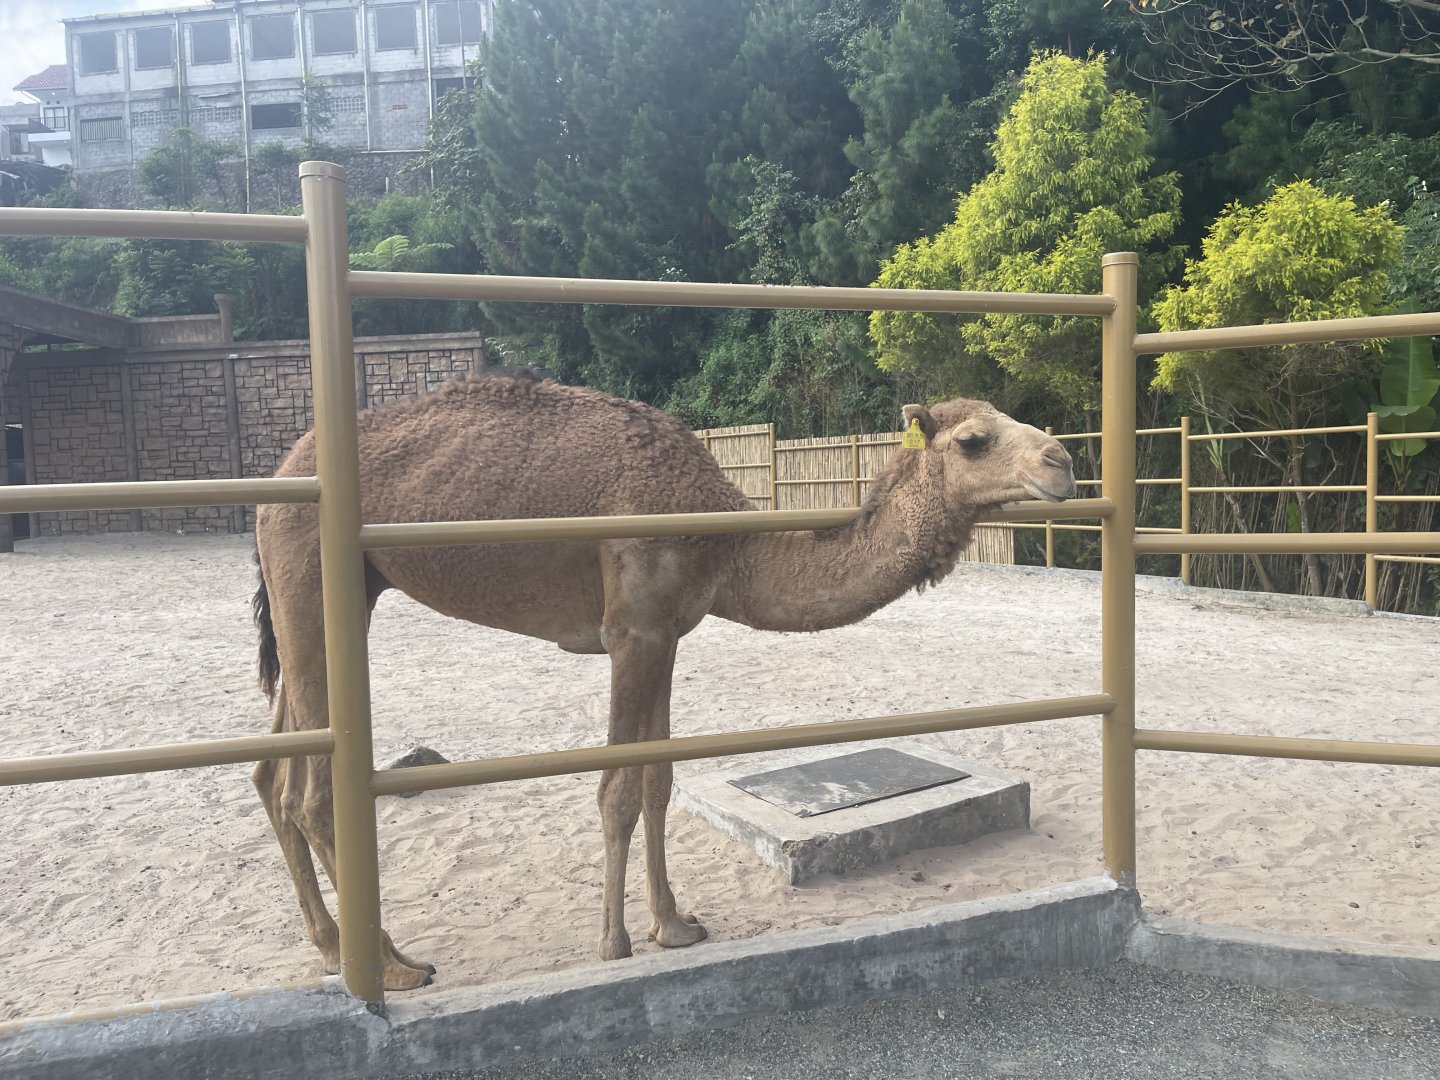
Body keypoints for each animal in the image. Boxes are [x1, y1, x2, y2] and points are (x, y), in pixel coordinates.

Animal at [251, 369, 1076, 990]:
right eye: (974, 440)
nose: (1062, 461)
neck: (725, 537)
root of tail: (280, 475)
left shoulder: (669, 633)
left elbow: (658, 778)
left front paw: (674, 924)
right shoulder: (632, 631)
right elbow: (616, 788)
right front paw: (614, 943)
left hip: (338, 595)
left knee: (272, 772)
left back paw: (332, 947)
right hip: (314, 575)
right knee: (312, 791)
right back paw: (394, 965)